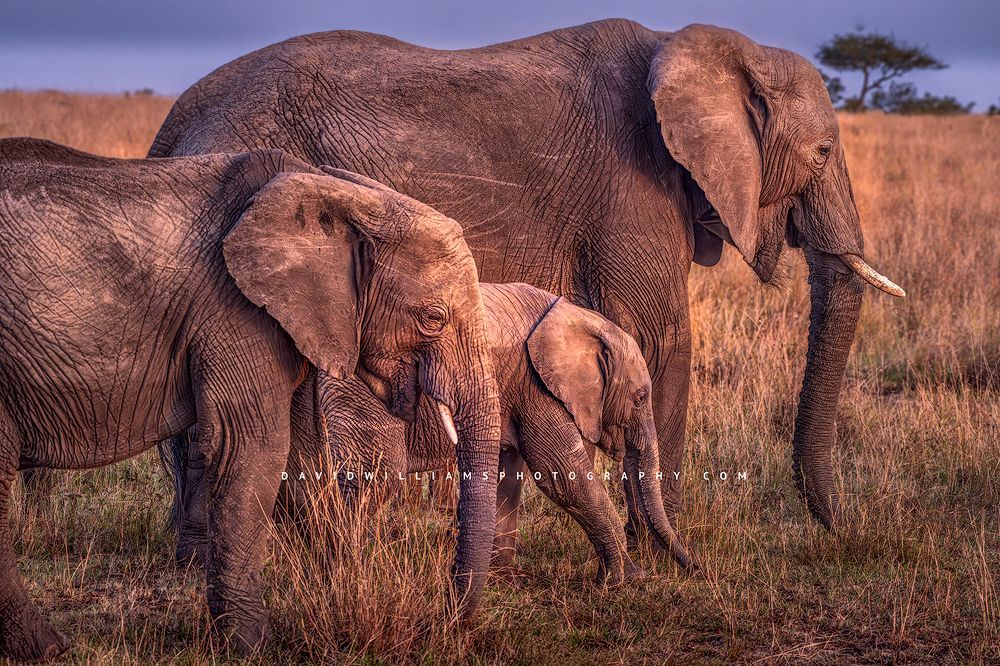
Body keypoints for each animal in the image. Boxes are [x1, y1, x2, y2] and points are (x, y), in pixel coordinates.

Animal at [0, 138, 499, 660]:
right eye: (433, 318)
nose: (444, 619)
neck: (339, 195)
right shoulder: (235, 313)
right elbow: (254, 448)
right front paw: (254, 645)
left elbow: (302, 454)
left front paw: (338, 590)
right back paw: (48, 648)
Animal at [149, 19, 904, 553]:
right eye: (824, 152)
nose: (842, 528)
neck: (700, 44)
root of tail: (172, 124)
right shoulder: (633, 187)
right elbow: (661, 336)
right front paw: (666, 548)